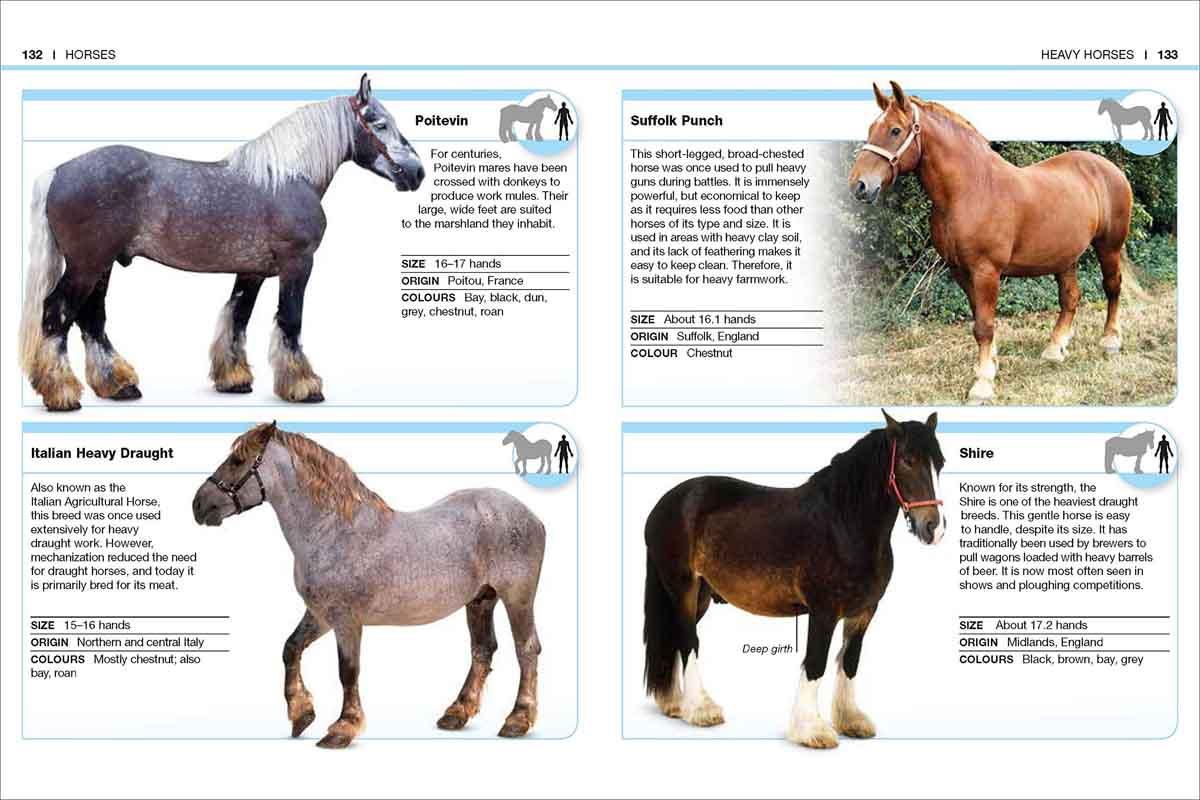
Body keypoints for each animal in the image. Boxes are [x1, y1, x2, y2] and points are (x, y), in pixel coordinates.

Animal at [19, 74, 424, 411]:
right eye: (380, 124)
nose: (417, 173)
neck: (287, 179)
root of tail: (58, 172)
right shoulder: (298, 264)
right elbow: (290, 321)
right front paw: (304, 386)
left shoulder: (252, 272)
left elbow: (237, 318)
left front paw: (234, 380)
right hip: (87, 266)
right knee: (57, 313)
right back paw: (62, 392)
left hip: (101, 266)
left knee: (91, 320)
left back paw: (118, 386)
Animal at [191, 422, 546, 747]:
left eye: (238, 460)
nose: (198, 505)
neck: (333, 530)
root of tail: (530, 515)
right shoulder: (320, 615)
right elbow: (290, 649)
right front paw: (301, 714)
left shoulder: (347, 620)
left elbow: (348, 670)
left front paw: (342, 728)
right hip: (480, 599)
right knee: (482, 650)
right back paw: (457, 713)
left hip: (517, 598)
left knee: (526, 649)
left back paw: (517, 720)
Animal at [643, 411, 944, 749]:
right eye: (907, 460)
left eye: (940, 463)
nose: (933, 527)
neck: (843, 524)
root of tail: (664, 504)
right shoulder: (824, 611)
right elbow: (815, 663)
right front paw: (811, 730)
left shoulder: (864, 612)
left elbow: (850, 661)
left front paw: (851, 721)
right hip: (683, 588)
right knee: (688, 641)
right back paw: (701, 710)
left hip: (700, 595)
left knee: (676, 637)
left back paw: (674, 704)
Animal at [848, 81, 1137, 405]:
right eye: (871, 127)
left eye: (895, 130)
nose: (859, 185)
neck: (971, 189)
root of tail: (1109, 168)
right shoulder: (961, 271)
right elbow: (980, 319)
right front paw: (991, 365)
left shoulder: (986, 270)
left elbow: (984, 326)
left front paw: (982, 384)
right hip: (1066, 256)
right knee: (1070, 298)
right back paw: (1054, 349)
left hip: (1108, 246)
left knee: (1112, 287)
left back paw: (1110, 341)